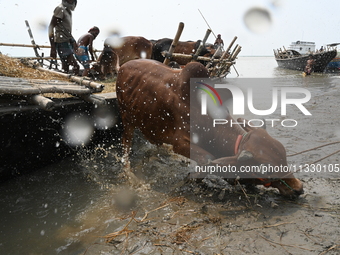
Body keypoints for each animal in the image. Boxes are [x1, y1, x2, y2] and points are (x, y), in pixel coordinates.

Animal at [115, 58, 304, 198]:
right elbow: (207, 159)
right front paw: (192, 179)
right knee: (126, 145)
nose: (298, 189)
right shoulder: (180, 142)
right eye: (267, 172)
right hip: (127, 118)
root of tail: (123, 66)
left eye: (284, 158)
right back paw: (129, 173)